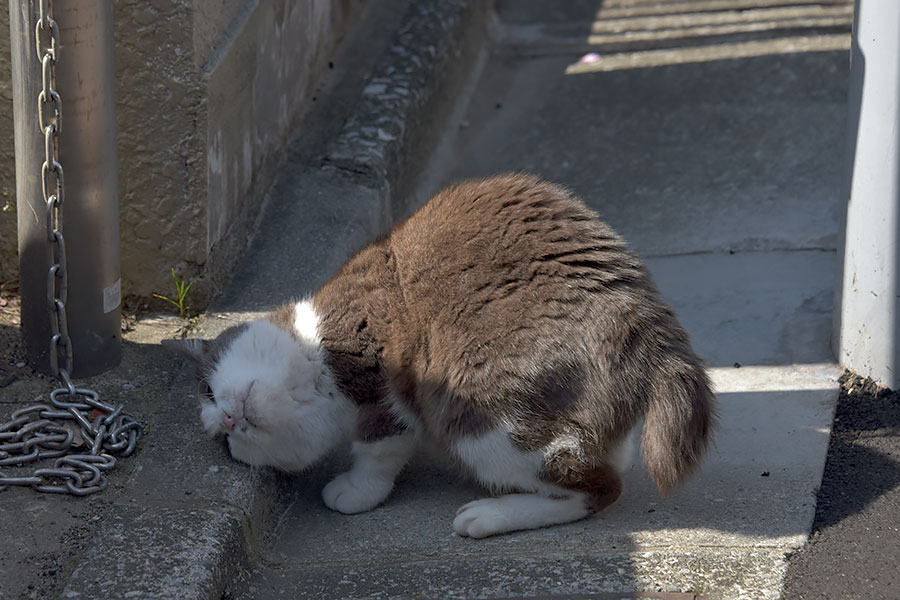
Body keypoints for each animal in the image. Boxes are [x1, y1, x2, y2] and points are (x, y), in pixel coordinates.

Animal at [162, 173, 712, 540]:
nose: (226, 418)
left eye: (208, 391)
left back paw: (485, 516)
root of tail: (641, 312)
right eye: (224, 441)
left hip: (474, 411)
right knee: (604, 464)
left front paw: (354, 491)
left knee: (600, 487)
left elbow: (377, 448)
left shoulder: (386, 380)